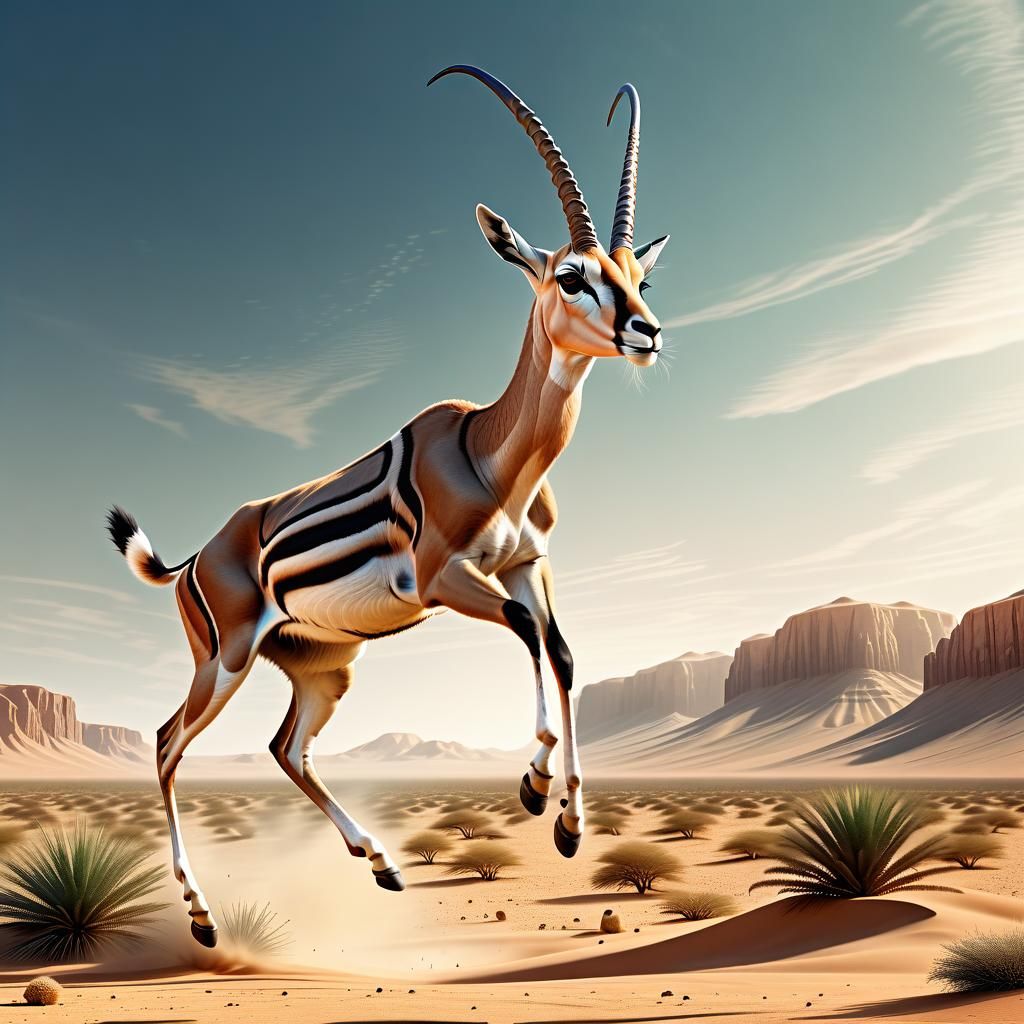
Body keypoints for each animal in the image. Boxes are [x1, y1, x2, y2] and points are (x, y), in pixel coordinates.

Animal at [107, 65, 669, 949]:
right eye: (570, 276)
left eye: (638, 278)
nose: (646, 332)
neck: (486, 451)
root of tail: (193, 559)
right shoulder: (446, 580)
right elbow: (528, 635)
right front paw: (533, 786)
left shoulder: (527, 564)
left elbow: (564, 652)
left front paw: (569, 825)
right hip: (223, 660)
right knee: (167, 745)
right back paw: (202, 922)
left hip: (325, 667)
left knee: (286, 748)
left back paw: (383, 866)